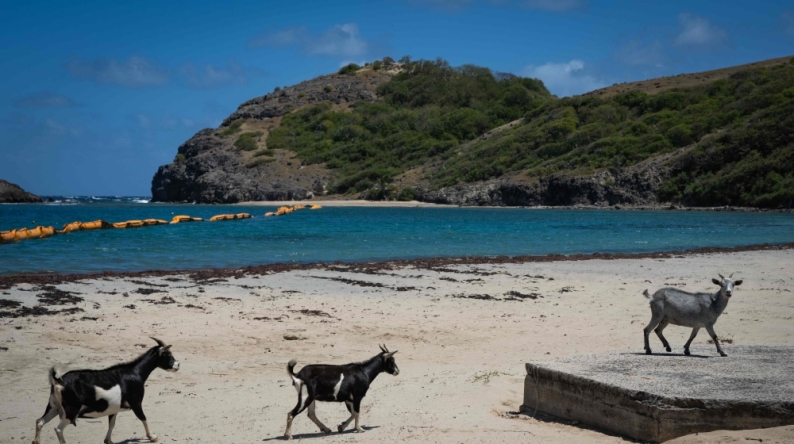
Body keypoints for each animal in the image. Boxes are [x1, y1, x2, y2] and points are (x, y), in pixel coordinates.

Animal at [32, 337, 180, 444]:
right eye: (168, 355)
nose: (178, 365)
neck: (135, 373)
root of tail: (58, 380)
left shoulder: (114, 408)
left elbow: (112, 424)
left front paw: (108, 440)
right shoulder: (136, 402)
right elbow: (143, 418)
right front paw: (152, 437)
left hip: (53, 406)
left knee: (39, 421)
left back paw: (36, 441)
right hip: (71, 410)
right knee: (58, 429)